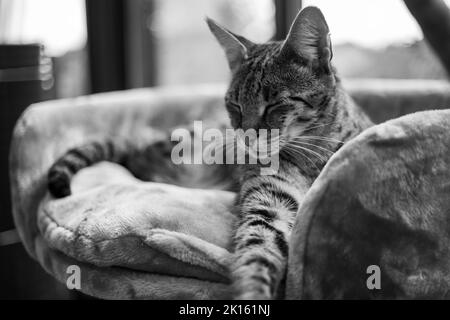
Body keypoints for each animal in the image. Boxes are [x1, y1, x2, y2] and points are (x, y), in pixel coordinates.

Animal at [49, 6, 372, 300]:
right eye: (234, 105)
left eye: (274, 104)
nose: (245, 136)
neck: (314, 153)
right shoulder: (269, 203)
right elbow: (257, 251)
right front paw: (253, 291)